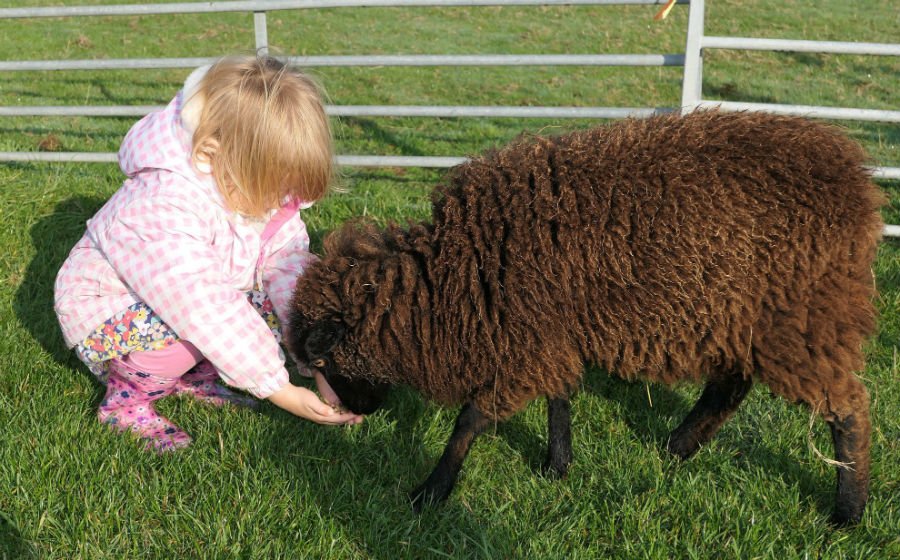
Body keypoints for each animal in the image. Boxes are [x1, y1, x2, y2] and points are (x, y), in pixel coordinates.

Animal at [290, 109, 884, 524]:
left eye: (321, 357)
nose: (354, 415)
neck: (456, 272)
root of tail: (855, 180)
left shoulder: (525, 339)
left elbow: (472, 419)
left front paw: (431, 491)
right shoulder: (548, 333)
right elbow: (559, 398)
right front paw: (557, 465)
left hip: (802, 317)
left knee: (849, 405)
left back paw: (848, 513)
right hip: (739, 318)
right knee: (730, 387)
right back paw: (675, 449)